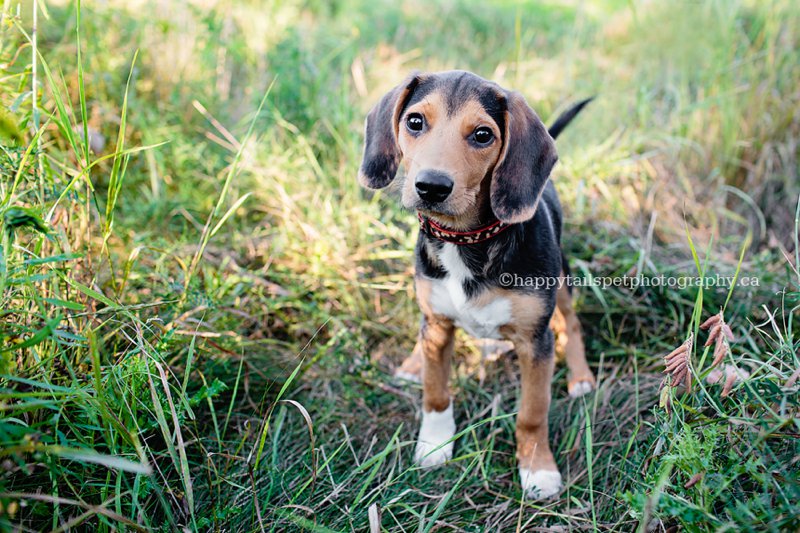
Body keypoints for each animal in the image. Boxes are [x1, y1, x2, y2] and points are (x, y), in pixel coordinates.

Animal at [356, 69, 592, 498]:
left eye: (483, 135)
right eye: (415, 122)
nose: (431, 186)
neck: (467, 241)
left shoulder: (535, 341)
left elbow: (533, 412)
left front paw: (537, 469)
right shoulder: (437, 326)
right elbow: (435, 393)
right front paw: (435, 445)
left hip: (563, 281)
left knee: (572, 322)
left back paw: (581, 377)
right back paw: (413, 363)